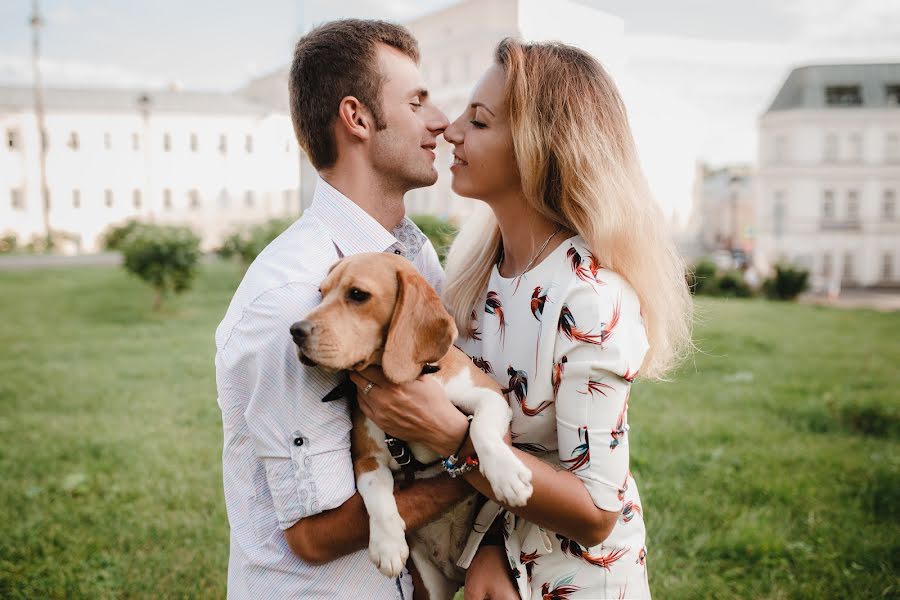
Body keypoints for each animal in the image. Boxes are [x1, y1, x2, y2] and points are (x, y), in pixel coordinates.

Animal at [292, 253, 532, 600]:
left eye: (357, 294)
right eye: (321, 293)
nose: (295, 330)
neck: (407, 378)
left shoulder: (490, 395)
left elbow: (480, 429)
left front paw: (506, 475)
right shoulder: (367, 458)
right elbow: (377, 493)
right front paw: (387, 544)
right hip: (429, 587)